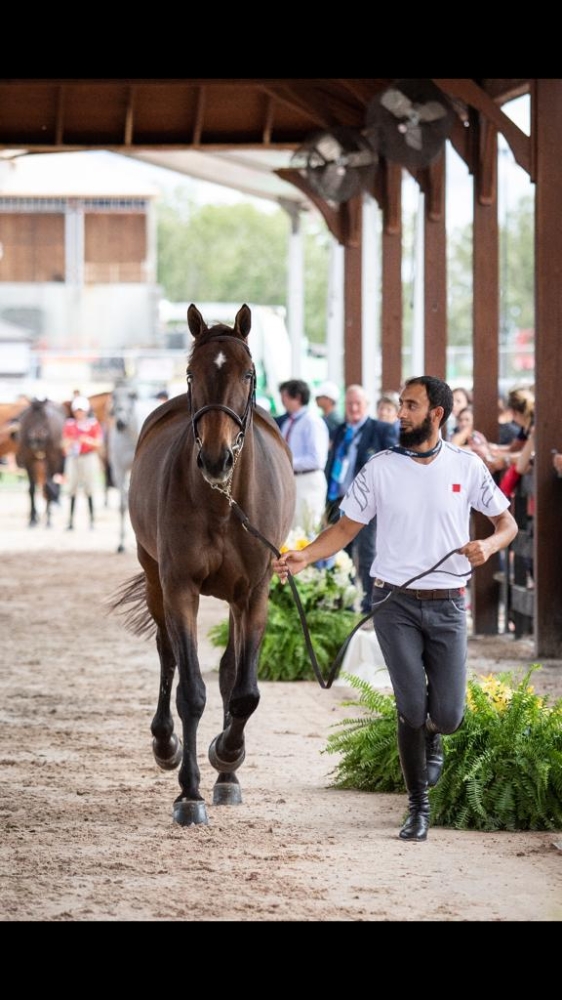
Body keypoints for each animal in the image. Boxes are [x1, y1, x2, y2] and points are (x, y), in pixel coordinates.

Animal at [15, 398, 66, 528]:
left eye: (45, 417)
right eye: (31, 417)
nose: (37, 439)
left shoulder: (52, 460)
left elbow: (48, 487)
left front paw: (48, 520)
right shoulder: (29, 461)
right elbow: (32, 489)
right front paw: (32, 519)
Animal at [108, 304, 294, 828]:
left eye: (248, 373)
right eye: (192, 373)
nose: (215, 458)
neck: (222, 503)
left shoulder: (255, 591)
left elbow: (244, 690)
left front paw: (227, 756)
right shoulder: (180, 587)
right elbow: (190, 689)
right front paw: (188, 792)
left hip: (232, 598)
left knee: (231, 671)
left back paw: (227, 775)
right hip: (154, 577)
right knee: (167, 653)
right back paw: (165, 744)